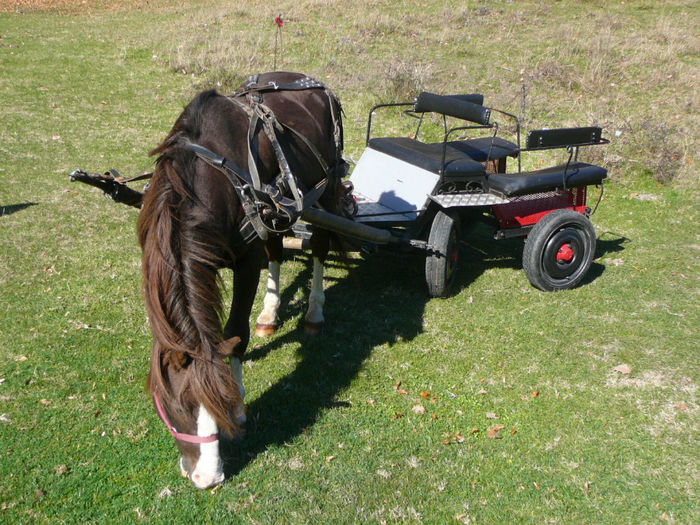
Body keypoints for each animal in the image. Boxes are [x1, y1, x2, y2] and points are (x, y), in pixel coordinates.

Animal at [138, 70, 346, 488]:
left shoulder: (247, 262)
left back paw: (314, 313)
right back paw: (270, 314)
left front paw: (239, 410)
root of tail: (312, 82)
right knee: (278, 251)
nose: (208, 479)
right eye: (177, 406)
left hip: (325, 193)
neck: (207, 176)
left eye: (220, 403)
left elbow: (235, 334)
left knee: (319, 247)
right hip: (277, 213)